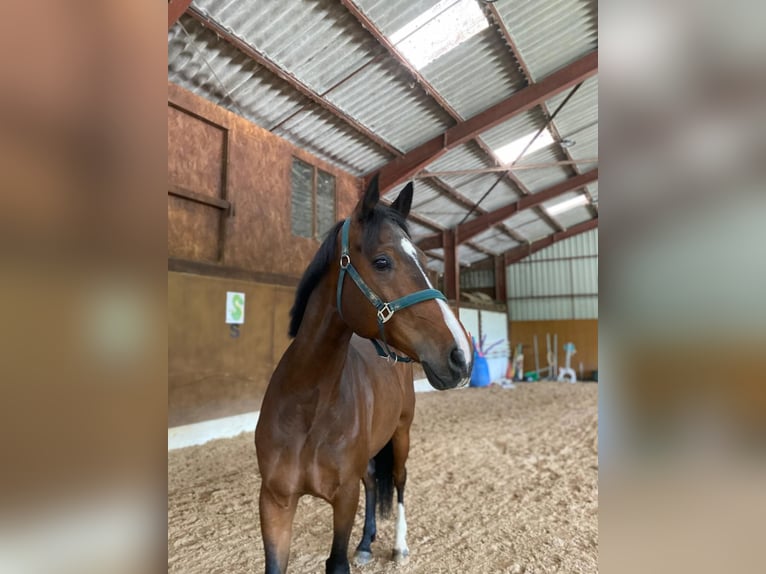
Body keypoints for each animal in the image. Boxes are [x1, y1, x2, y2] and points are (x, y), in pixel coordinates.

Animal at [255, 174, 474, 574]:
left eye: (425, 262)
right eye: (382, 261)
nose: (461, 355)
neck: (307, 407)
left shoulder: (344, 499)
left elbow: (338, 561)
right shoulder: (275, 502)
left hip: (401, 434)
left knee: (399, 481)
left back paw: (398, 547)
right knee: (373, 480)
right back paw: (367, 543)